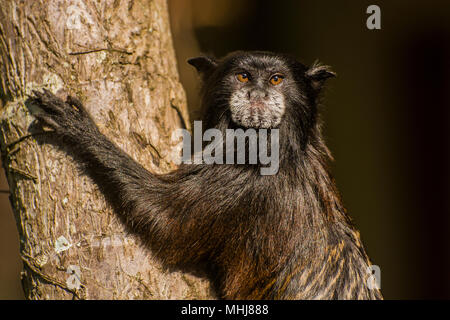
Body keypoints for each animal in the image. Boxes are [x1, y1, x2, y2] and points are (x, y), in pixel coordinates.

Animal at [30, 50, 384, 300]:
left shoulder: (242, 179)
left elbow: (162, 219)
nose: (258, 95)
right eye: (243, 77)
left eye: (275, 80)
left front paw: (82, 130)